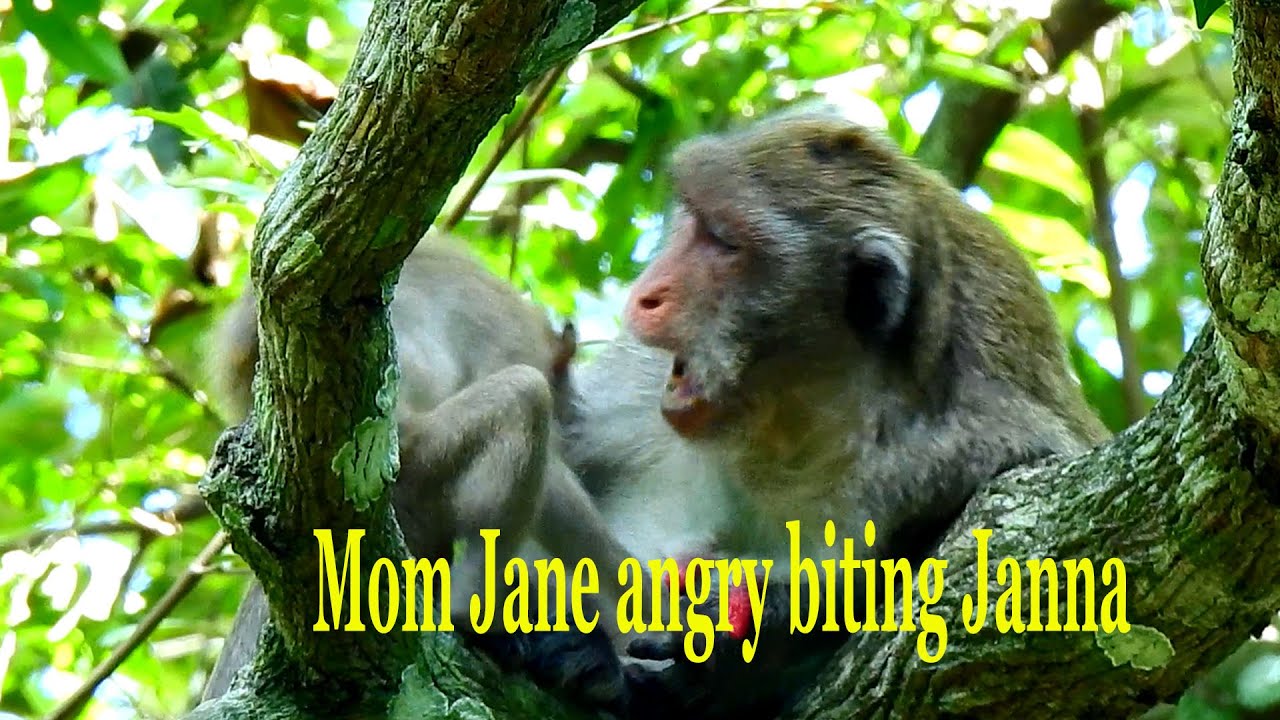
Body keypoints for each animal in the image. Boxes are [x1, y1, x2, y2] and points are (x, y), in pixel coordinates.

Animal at [200, 235, 644, 710]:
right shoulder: (507, 341)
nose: (575, 415)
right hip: (411, 470)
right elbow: (554, 477)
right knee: (523, 394)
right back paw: (472, 611)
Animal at [552, 105, 1110, 718]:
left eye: (724, 242)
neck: (791, 426)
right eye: (695, 223)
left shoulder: (965, 450)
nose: (647, 293)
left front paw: (749, 638)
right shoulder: (636, 392)